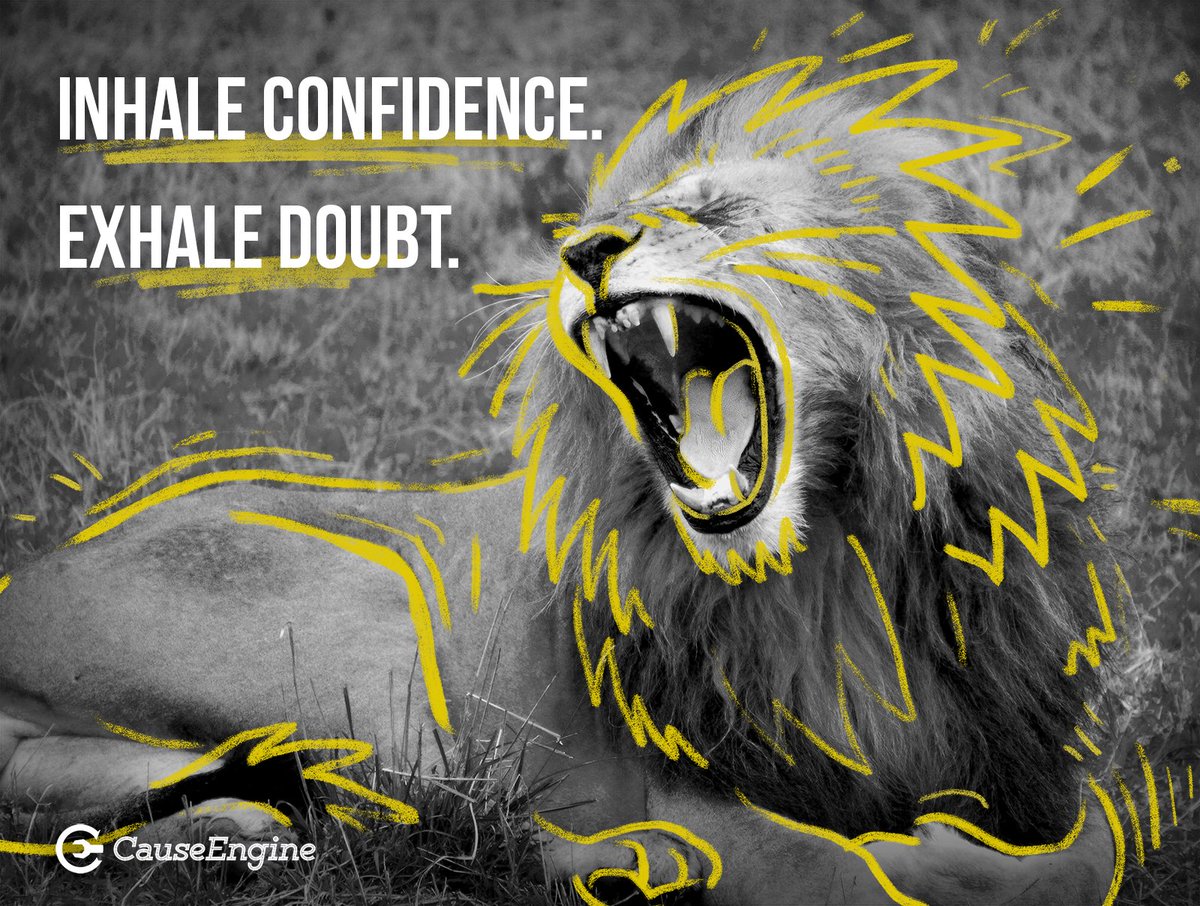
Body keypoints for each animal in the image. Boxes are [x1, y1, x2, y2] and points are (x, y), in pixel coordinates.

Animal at [0, 59, 1120, 904]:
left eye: (720, 209)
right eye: (597, 219)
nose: (584, 252)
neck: (831, 566)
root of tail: (30, 576)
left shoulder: (1039, 766)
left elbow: (1093, 852)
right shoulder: (678, 783)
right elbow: (842, 873)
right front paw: (913, 858)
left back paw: (244, 828)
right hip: (363, 627)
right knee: (436, 813)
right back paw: (626, 865)